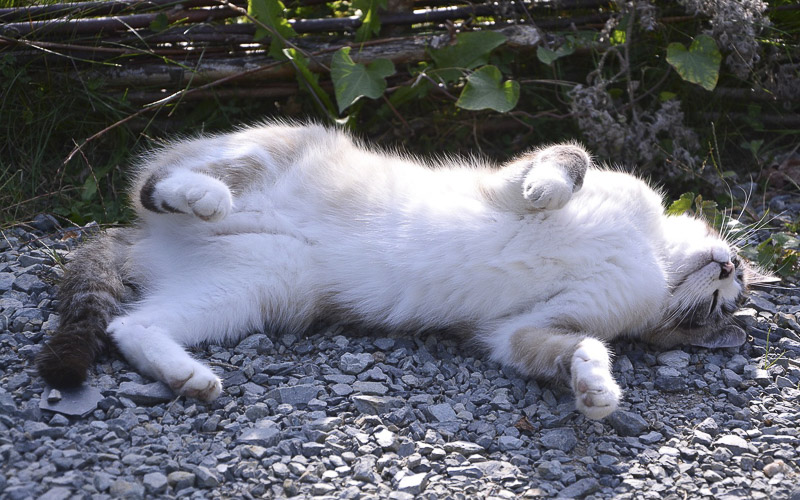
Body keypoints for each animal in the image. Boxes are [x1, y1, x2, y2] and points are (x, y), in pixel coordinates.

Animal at [32, 121, 756, 418]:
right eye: (734, 282)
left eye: (720, 304)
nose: (730, 263)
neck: (651, 254)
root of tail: (145, 238)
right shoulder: (507, 178)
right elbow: (566, 159)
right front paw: (548, 189)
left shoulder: (522, 330)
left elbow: (579, 346)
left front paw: (598, 393)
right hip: (277, 146)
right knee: (153, 180)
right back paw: (203, 196)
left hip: (255, 289)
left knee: (131, 326)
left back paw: (190, 377)